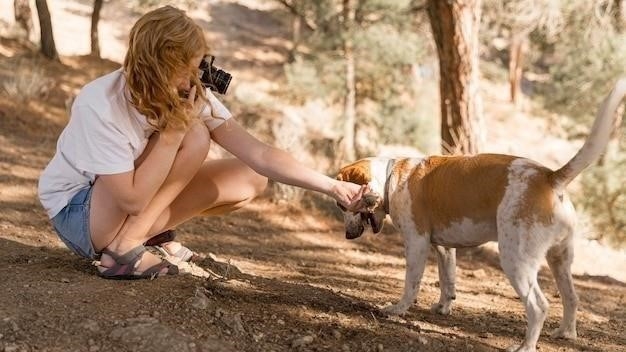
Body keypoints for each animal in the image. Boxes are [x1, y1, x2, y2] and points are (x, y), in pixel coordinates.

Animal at [336, 80, 624, 352]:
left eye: (341, 205)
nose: (348, 235)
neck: (391, 177)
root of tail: (550, 176)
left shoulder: (417, 244)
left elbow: (411, 284)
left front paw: (397, 309)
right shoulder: (444, 249)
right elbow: (447, 281)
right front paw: (443, 307)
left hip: (516, 261)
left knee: (539, 306)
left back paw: (525, 346)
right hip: (559, 260)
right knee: (571, 298)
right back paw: (566, 333)